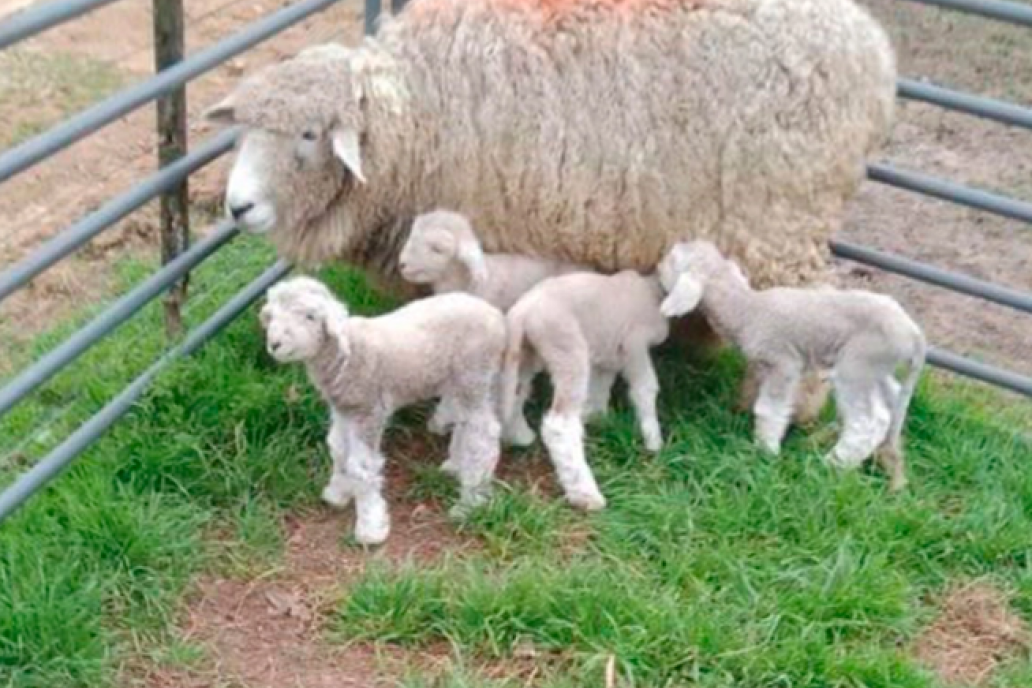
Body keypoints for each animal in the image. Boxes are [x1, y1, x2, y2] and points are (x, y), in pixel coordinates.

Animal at [260, 274, 505, 544]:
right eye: (271, 315)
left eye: (310, 316)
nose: (274, 344)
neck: (347, 353)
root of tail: (494, 315)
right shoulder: (344, 410)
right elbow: (338, 450)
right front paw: (338, 491)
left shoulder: (368, 411)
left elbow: (361, 465)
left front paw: (370, 526)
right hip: (462, 382)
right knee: (466, 424)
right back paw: (457, 465)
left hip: (475, 374)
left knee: (484, 435)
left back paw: (472, 500)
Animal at [497, 268, 668, 511]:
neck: (652, 290)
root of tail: (522, 312)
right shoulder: (634, 344)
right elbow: (645, 387)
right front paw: (654, 440)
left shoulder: (608, 353)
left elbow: (600, 387)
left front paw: (598, 417)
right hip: (567, 349)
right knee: (560, 424)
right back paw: (585, 493)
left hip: (525, 353)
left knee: (515, 393)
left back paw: (520, 436)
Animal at [656, 239, 924, 493]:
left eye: (673, 258)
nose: (657, 266)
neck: (747, 310)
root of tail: (913, 333)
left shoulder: (783, 363)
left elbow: (769, 409)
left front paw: (766, 449)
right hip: (877, 369)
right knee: (891, 401)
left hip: (857, 366)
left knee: (869, 421)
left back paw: (834, 463)